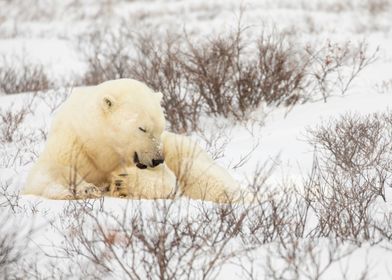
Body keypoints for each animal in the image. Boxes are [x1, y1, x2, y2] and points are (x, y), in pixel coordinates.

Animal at [23, 77, 245, 202]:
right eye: (142, 128)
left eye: (161, 128)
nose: (157, 159)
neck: (102, 146)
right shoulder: (74, 143)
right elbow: (47, 171)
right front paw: (85, 189)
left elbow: (168, 180)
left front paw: (122, 183)